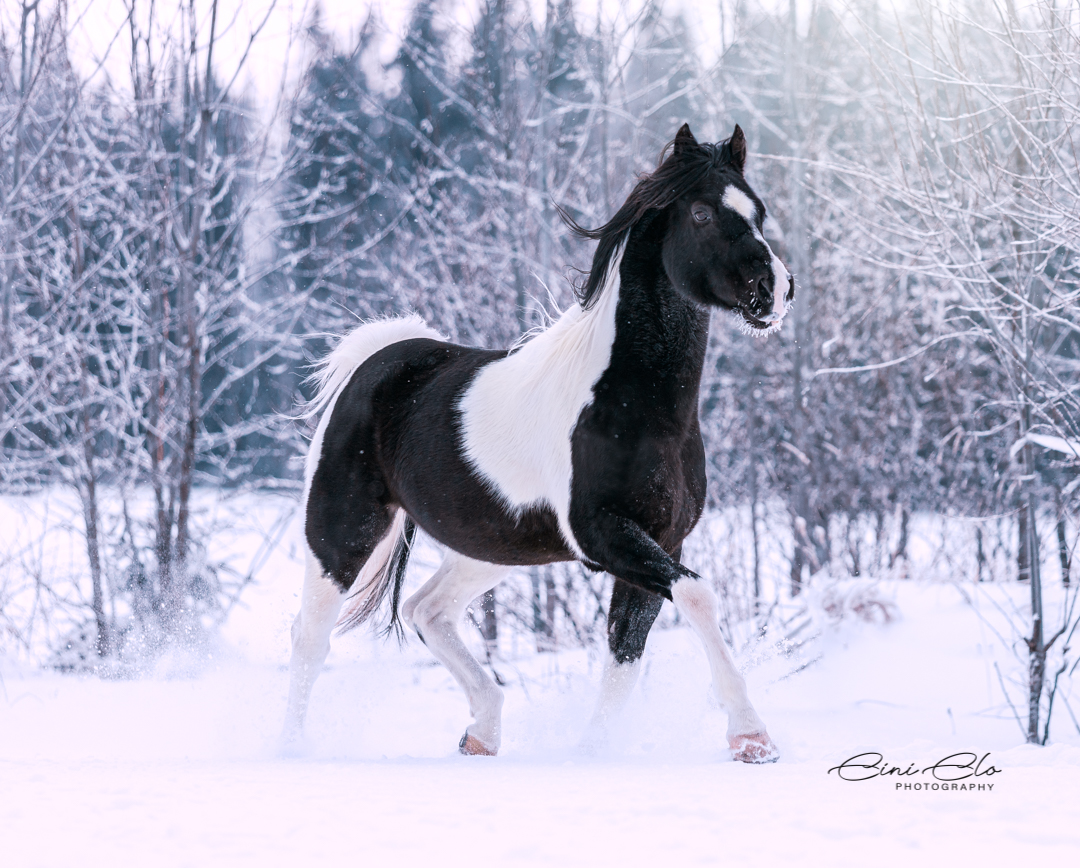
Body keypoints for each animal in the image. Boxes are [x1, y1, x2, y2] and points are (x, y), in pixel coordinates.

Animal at [282, 124, 794, 763]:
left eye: (759, 211)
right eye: (701, 213)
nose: (775, 291)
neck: (635, 408)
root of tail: (375, 361)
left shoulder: (662, 541)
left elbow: (625, 653)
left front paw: (594, 751)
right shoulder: (605, 535)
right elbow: (699, 598)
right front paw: (752, 736)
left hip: (489, 546)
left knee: (427, 610)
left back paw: (481, 733)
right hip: (342, 532)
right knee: (311, 636)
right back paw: (294, 748)